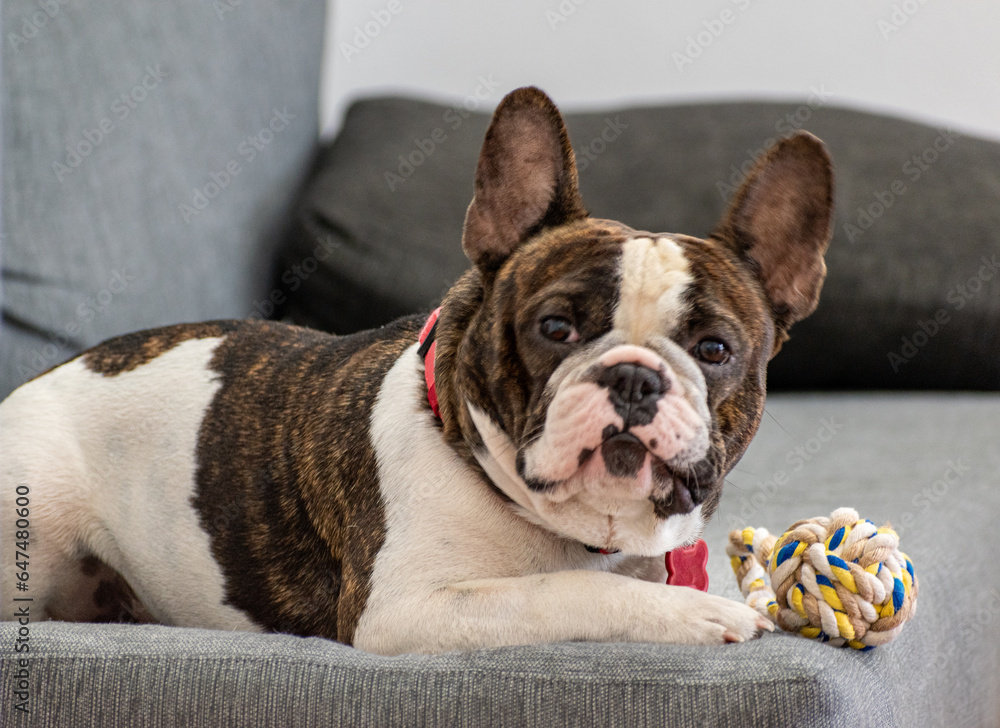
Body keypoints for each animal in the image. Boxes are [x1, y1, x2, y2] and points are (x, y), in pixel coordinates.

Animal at [0, 85, 832, 656]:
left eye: (714, 350)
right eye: (555, 328)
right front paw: (697, 613)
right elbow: (561, 591)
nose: (633, 378)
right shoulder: (408, 610)